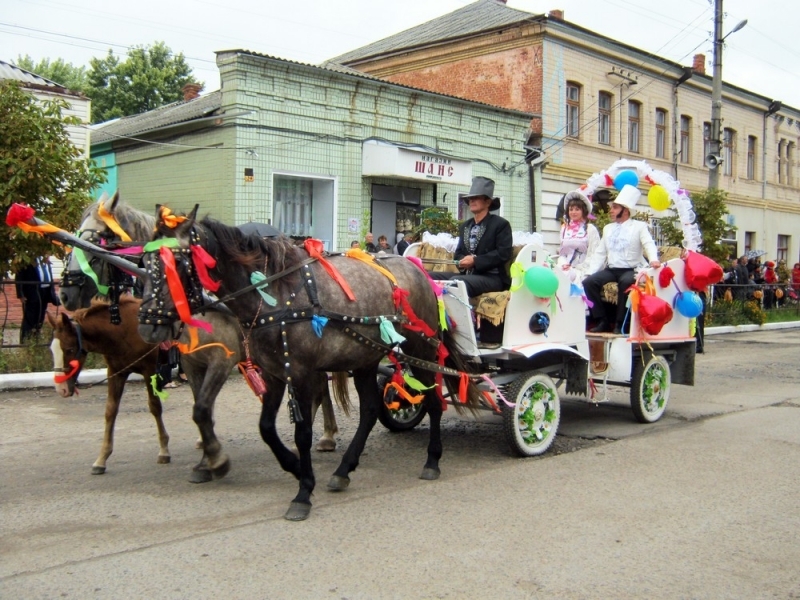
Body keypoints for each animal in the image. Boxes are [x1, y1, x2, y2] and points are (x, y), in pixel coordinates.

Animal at [136, 207, 482, 520]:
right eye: (145, 262)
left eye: (177, 263)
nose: (147, 325)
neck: (274, 295)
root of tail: (420, 272)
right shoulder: (273, 374)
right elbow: (265, 428)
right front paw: (292, 465)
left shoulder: (298, 373)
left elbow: (302, 432)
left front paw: (303, 491)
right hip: (366, 358)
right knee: (371, 410)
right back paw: (344, 470)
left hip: (421, 349)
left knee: (434, 401)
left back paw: (432, 461)